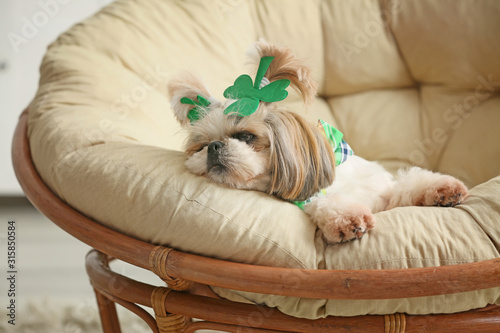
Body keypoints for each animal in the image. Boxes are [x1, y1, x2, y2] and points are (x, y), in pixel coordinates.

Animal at [169, 41, 468, 244]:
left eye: (246, 136)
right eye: (200, 146)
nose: (214, 147)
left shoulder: (383, 192)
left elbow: (406, 184)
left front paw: (442, 188)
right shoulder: (313, 200)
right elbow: (328, 203)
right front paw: (348, 219)